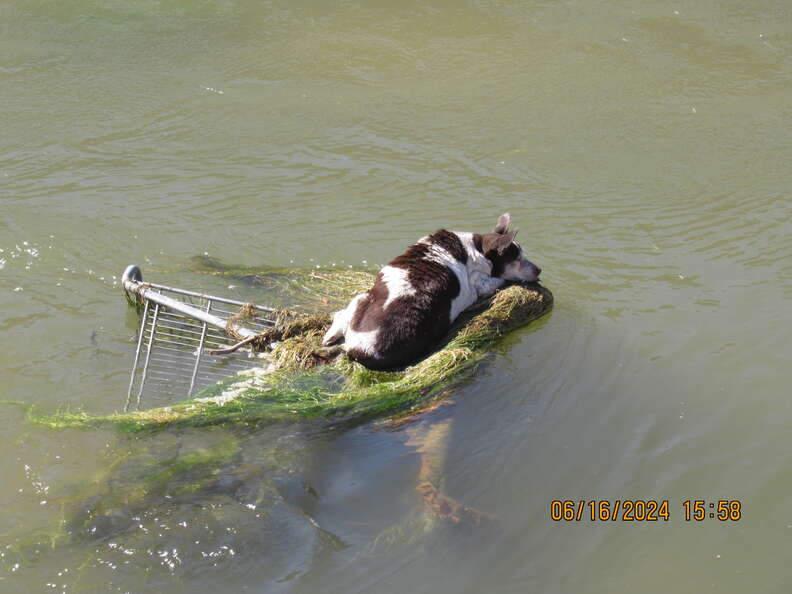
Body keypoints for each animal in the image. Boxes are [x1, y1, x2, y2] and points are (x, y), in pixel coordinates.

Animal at [320, 213, 540, 370]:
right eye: (517, 258)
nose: (539, 270)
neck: (477, 249)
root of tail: (357, 349)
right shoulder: (481, 284)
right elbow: (499, 279)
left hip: (362, 297)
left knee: (341, 315)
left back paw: (329, 336)